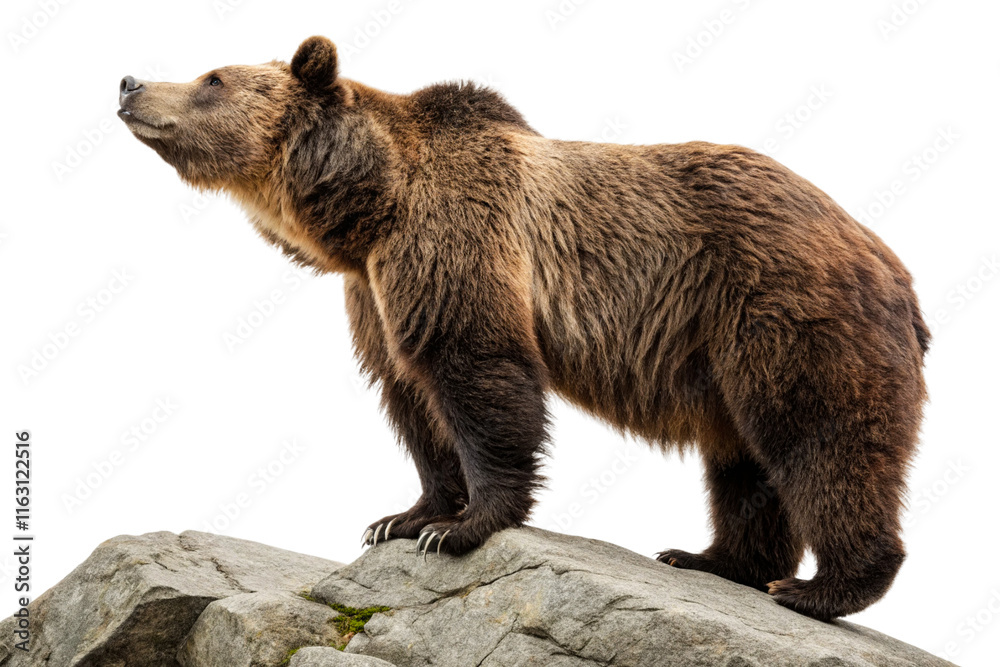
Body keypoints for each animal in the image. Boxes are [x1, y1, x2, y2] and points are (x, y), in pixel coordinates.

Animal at [117, 36, 930, 621]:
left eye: (213, 77)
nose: (129, 83)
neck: (368, 207)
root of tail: (896, 268)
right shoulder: (374, 290)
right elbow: (410, 396)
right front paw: (402, 517)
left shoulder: (455, 241)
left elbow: (475, 369)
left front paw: (463, 526)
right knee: (743, 460)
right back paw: (709, 558)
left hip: (783, 309)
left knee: (819, 436)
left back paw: (822, 587)